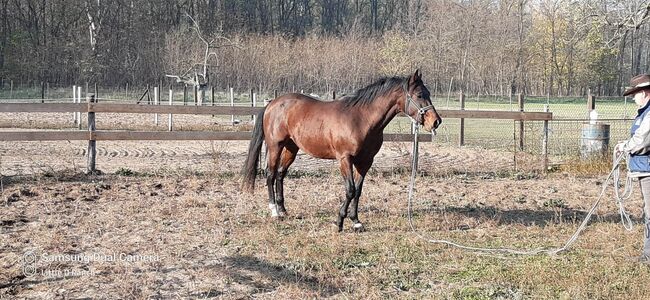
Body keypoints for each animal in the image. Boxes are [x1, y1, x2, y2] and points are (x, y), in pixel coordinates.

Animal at [242, 70, 440, 232]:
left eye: (429, 93)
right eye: (419, 94)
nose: (436, 121)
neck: (361, 119)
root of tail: (272, 104)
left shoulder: (366, 161)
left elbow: (358, 191)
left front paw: (356, 221)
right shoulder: (345, 159)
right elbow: (350, 189)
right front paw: (339, 221)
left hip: (292, 147)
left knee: (281, 174)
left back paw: (283, 210)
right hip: (275, 146)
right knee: (270, 173)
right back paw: (274, 211)